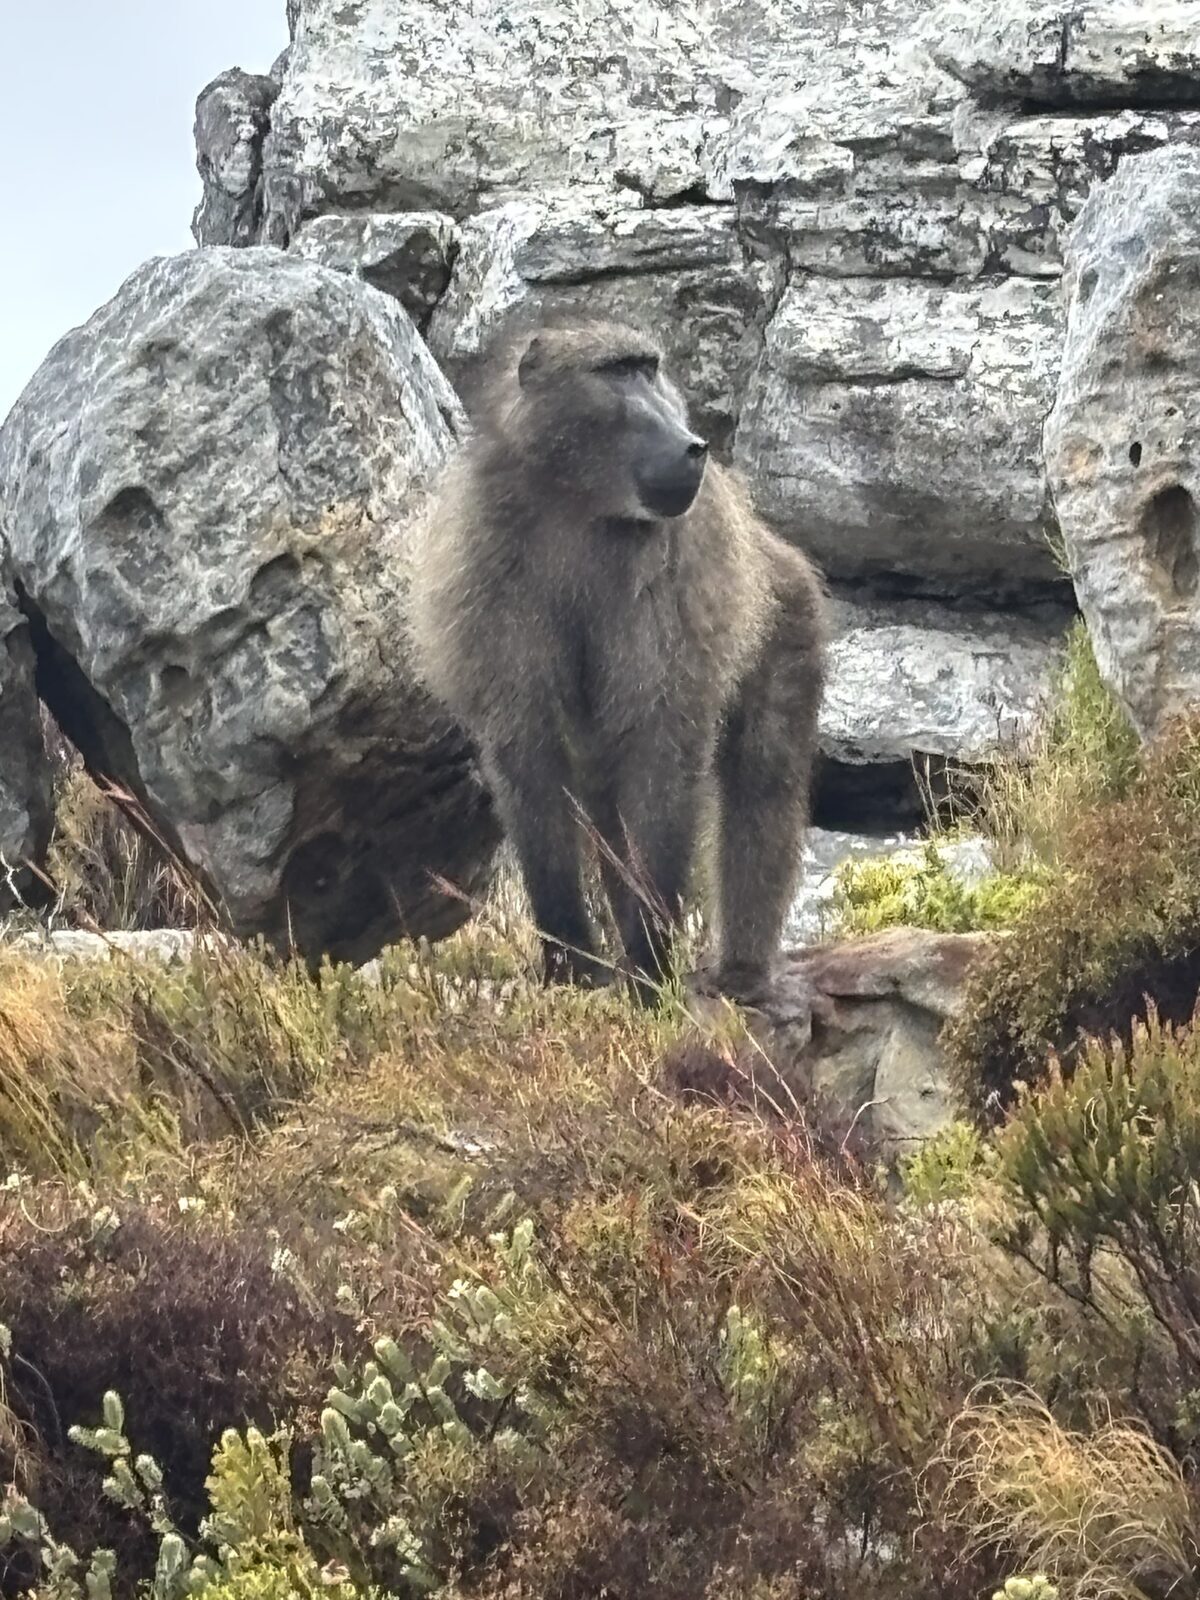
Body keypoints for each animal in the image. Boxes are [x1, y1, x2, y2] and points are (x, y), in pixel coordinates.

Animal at [406, 319, 827, 1006]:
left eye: (649, 368)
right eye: (616, 373)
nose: (692, 446)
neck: (580, 505)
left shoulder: (678, 562)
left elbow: (663, 750)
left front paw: (651, 970)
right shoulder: (486, 559)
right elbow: (528, 756)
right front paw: (571, 964)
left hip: (790, 622)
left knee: (763, 784)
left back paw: (741, 970)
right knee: (605, 805)